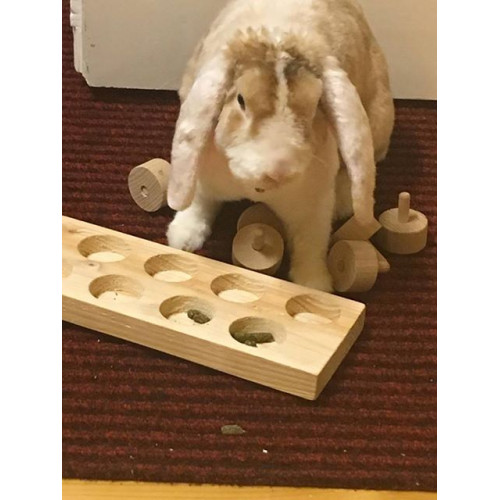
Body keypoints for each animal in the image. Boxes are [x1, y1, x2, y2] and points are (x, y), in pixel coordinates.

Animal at [166, 0, 394, 292]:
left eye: (315, 105)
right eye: (240, 100)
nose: (278, 169)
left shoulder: (313, 206)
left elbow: (311, 246)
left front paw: (315, 284)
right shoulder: (205, 178)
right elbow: (198, 204)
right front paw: (182, 238)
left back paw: (344, 202)